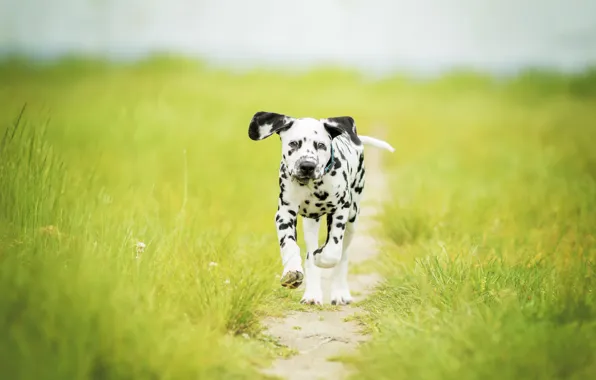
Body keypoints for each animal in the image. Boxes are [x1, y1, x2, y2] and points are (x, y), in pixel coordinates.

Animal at [248, 111, 396, 304]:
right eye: (293, 143)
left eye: (320, 145)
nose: (307, 166)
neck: (312, 185)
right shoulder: (285, 213)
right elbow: (289, 245)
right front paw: (292, 271)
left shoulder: (340, 211)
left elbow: (332, 252)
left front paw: (321, 256)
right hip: (311, 223)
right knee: (310, 255)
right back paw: (312, 294)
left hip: (352, 220)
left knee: (343, 256)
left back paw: (340, 293)